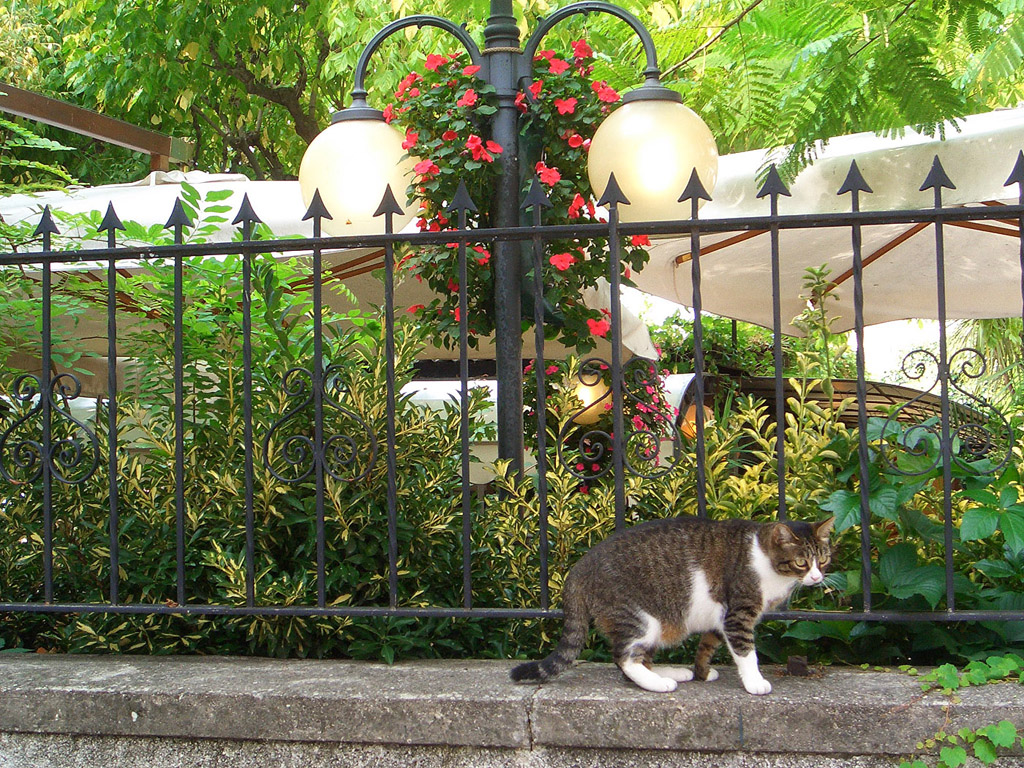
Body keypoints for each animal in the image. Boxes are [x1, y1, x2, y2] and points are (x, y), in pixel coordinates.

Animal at [507, 518, 835, 696]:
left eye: (823, 559)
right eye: (801, 562)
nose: (817, 577)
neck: (765, 560)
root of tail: (579, 568)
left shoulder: (720, 618)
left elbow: (706, 646)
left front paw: (702, 672)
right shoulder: (737, 615)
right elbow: (746, 653)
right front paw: (755, 682)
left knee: (638, 659)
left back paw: (673, 673)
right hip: (640, 619)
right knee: (624, 658)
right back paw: (660, 684)